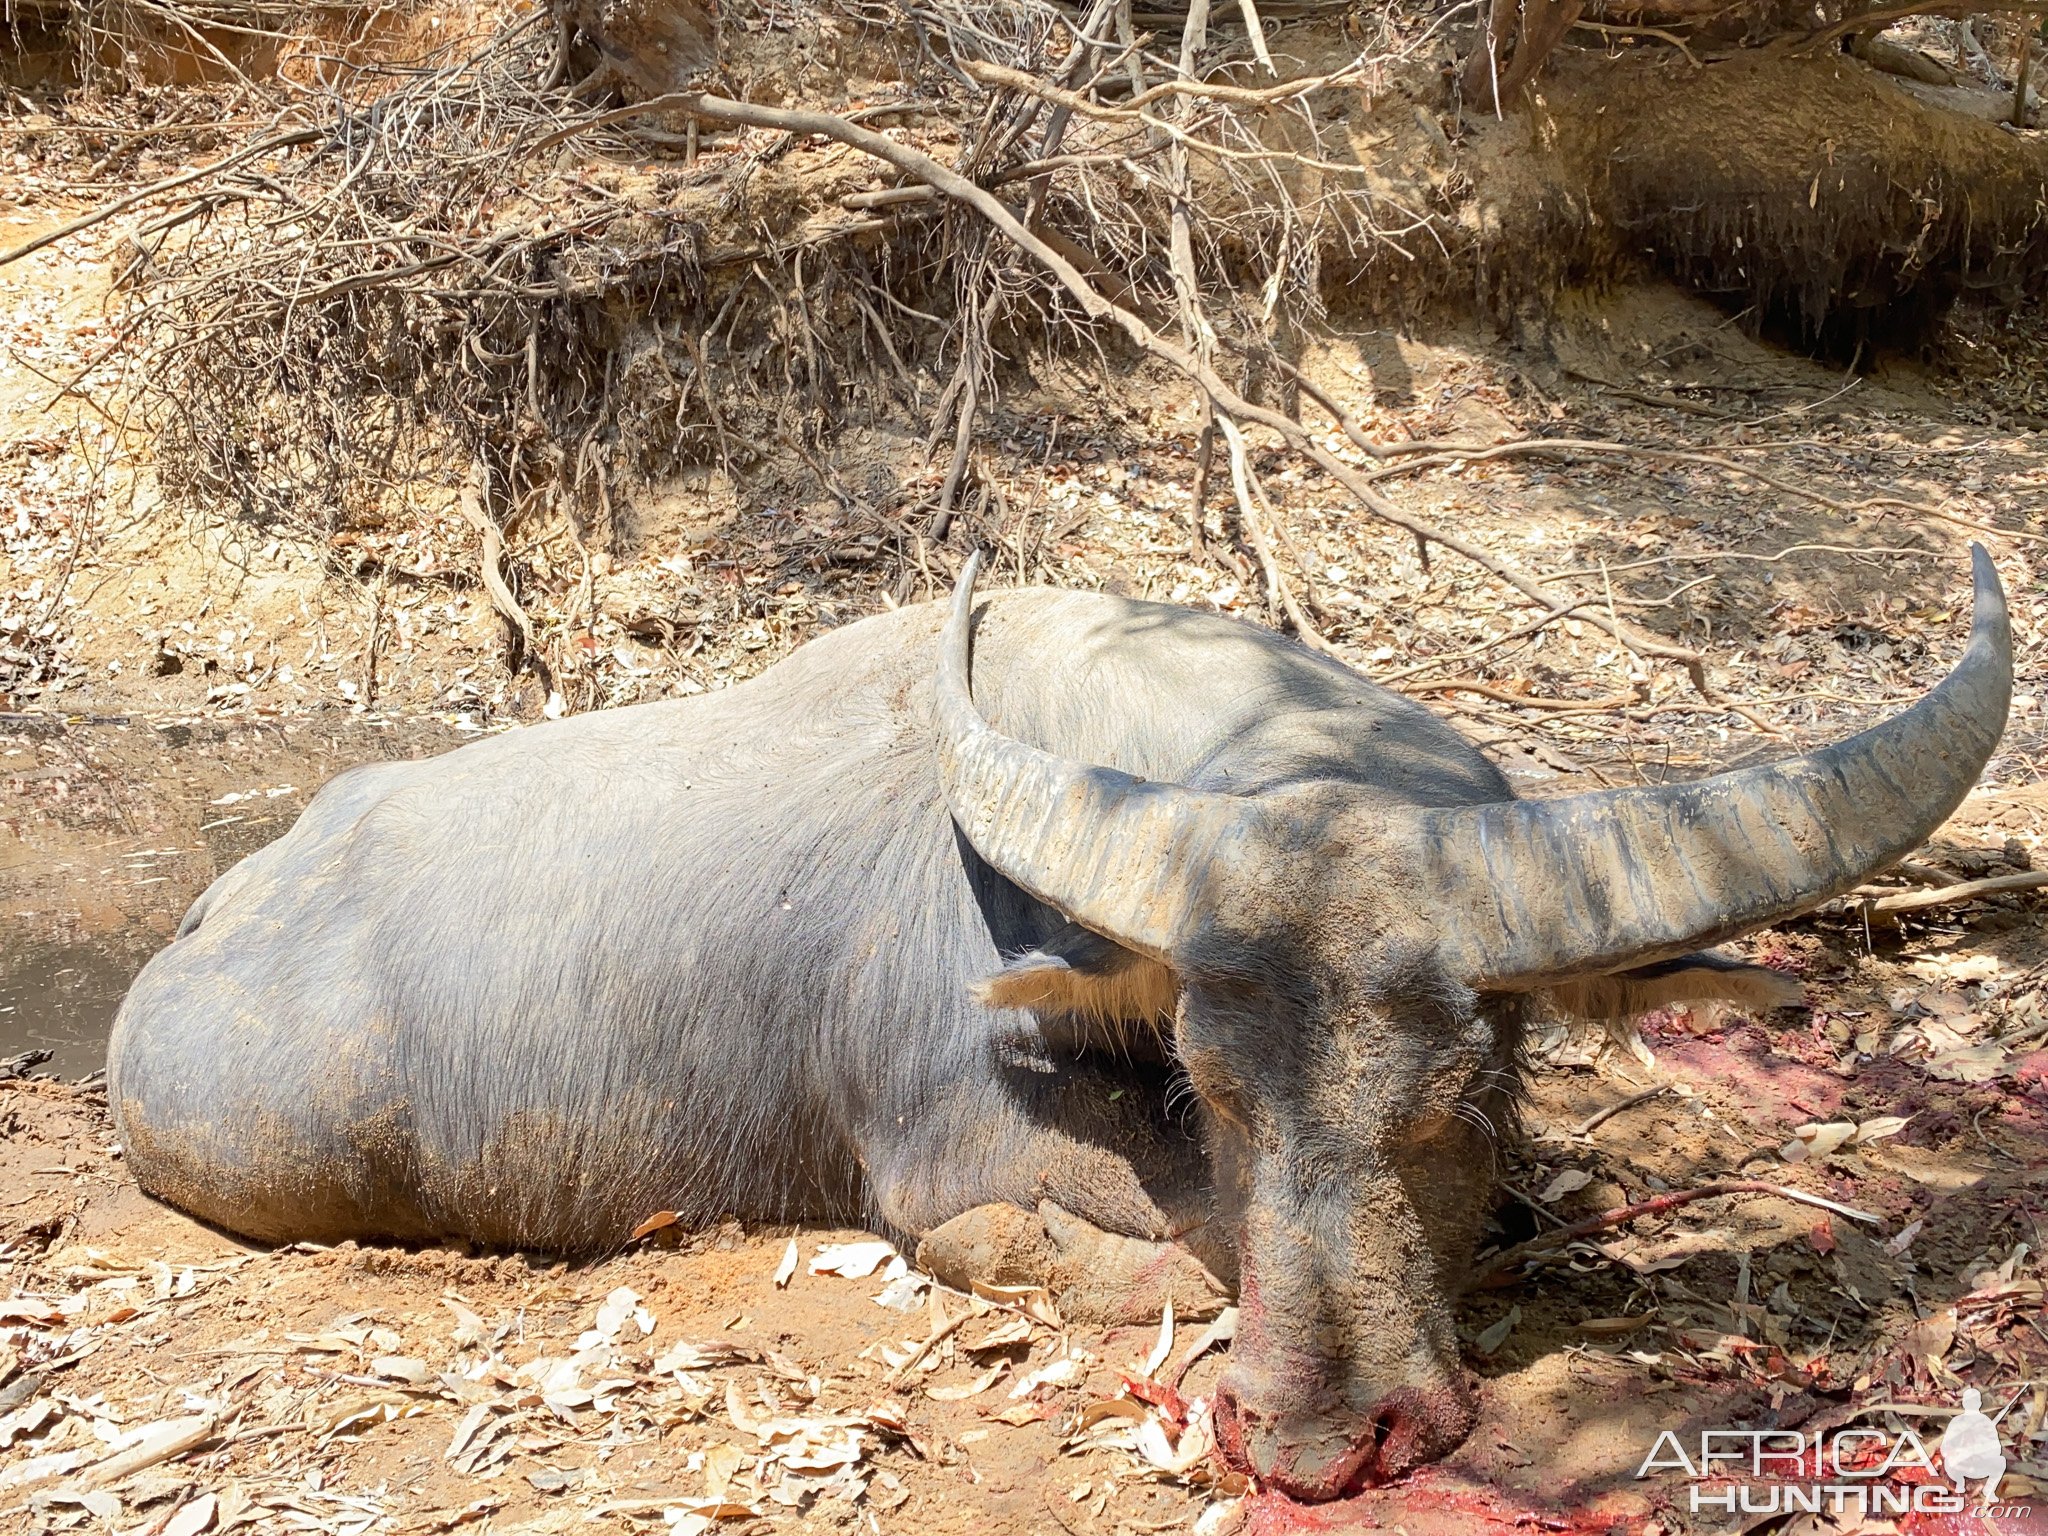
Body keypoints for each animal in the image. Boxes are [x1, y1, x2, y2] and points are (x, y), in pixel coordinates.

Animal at [103, 548, 2007, 1499]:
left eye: (1454, 1095)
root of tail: (213, 918)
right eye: (1205, 1092)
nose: (1314, 1445)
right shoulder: (962, 1180)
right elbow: (1144, 1254)